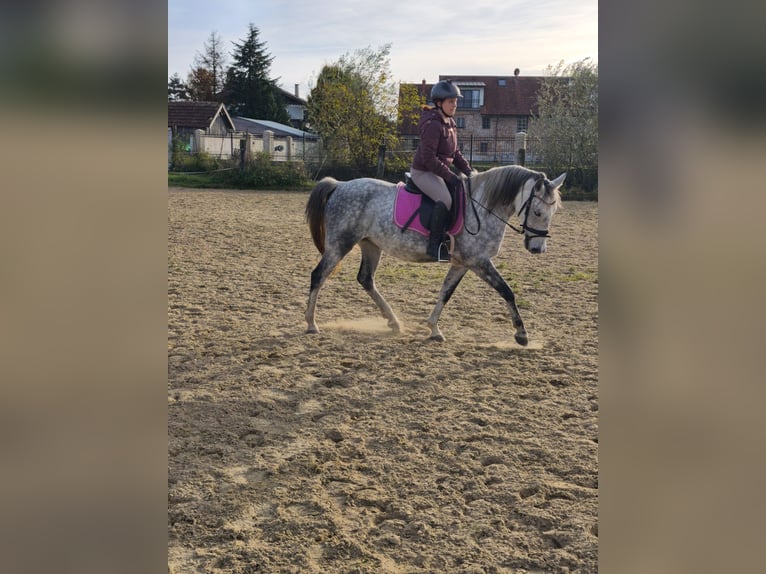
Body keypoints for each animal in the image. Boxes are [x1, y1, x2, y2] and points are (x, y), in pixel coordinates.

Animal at [304, 165, 566, 344]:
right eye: (538, 212)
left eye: (553, 212)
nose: (537, 249)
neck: (482, 207)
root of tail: (340, 185)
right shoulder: (479, 262)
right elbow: (506, 291)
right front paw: (521, 334)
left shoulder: (462, 263)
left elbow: (445, 292)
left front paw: (433, 329)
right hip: (340, 244)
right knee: (318, 275)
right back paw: (311, 323)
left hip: (371, 245)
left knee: (366, 279)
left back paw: (393, 322)